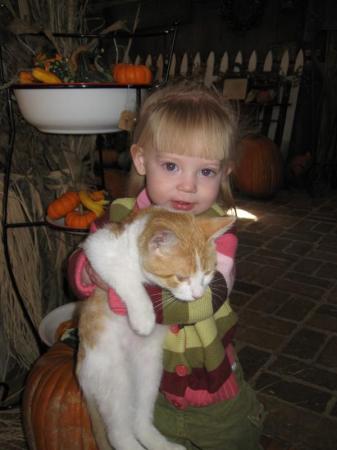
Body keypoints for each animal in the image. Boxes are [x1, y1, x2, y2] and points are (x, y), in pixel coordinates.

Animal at [76, 207, 234, 450]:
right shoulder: (98, 246)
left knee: (140, 421)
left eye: (208, 273)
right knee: (118, 433)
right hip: (114, 380)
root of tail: (81, 374)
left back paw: (161, 444)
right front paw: (144, 317)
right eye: (180, 277)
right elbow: (127, 279)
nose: (198, 295)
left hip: (150, 374)